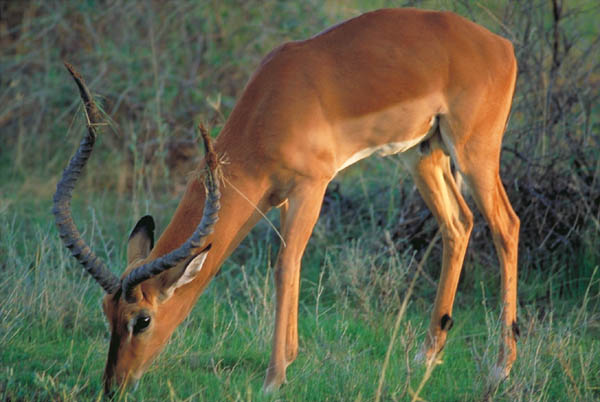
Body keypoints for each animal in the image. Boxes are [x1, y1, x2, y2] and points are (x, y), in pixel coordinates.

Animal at [55, 7, 520, 394]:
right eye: (106, 309)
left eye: (142, 319)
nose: (113, 386)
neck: (271, 105)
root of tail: (502, 45)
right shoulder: (278, 199)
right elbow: (289, 265)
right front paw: (291, 359)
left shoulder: (311, 187)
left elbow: (283, 266)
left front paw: (273, 379)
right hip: (423, 153)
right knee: (458, 223)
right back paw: (427, 355)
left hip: (474, 151)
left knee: (506, 226)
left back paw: (500, 369)